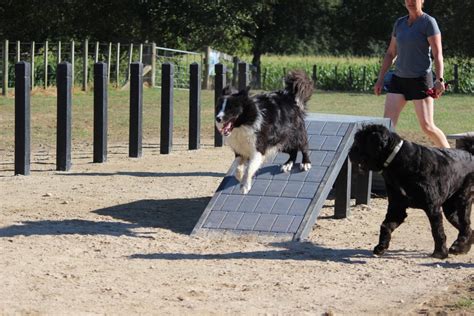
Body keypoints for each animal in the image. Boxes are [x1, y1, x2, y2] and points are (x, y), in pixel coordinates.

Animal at [348, 124, 474, 260]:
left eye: (359, 141)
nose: (349, 153)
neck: (398, 160)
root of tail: (470, 154)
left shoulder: (432, 208)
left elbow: (437, 231)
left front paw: (440, 253)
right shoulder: (397, 207)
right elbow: (385, 226)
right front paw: (381, 247)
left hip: (463, 200)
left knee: (465, 224)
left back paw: (459, 245)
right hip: (450, 209)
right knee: (468, 228)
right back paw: (462, 247)